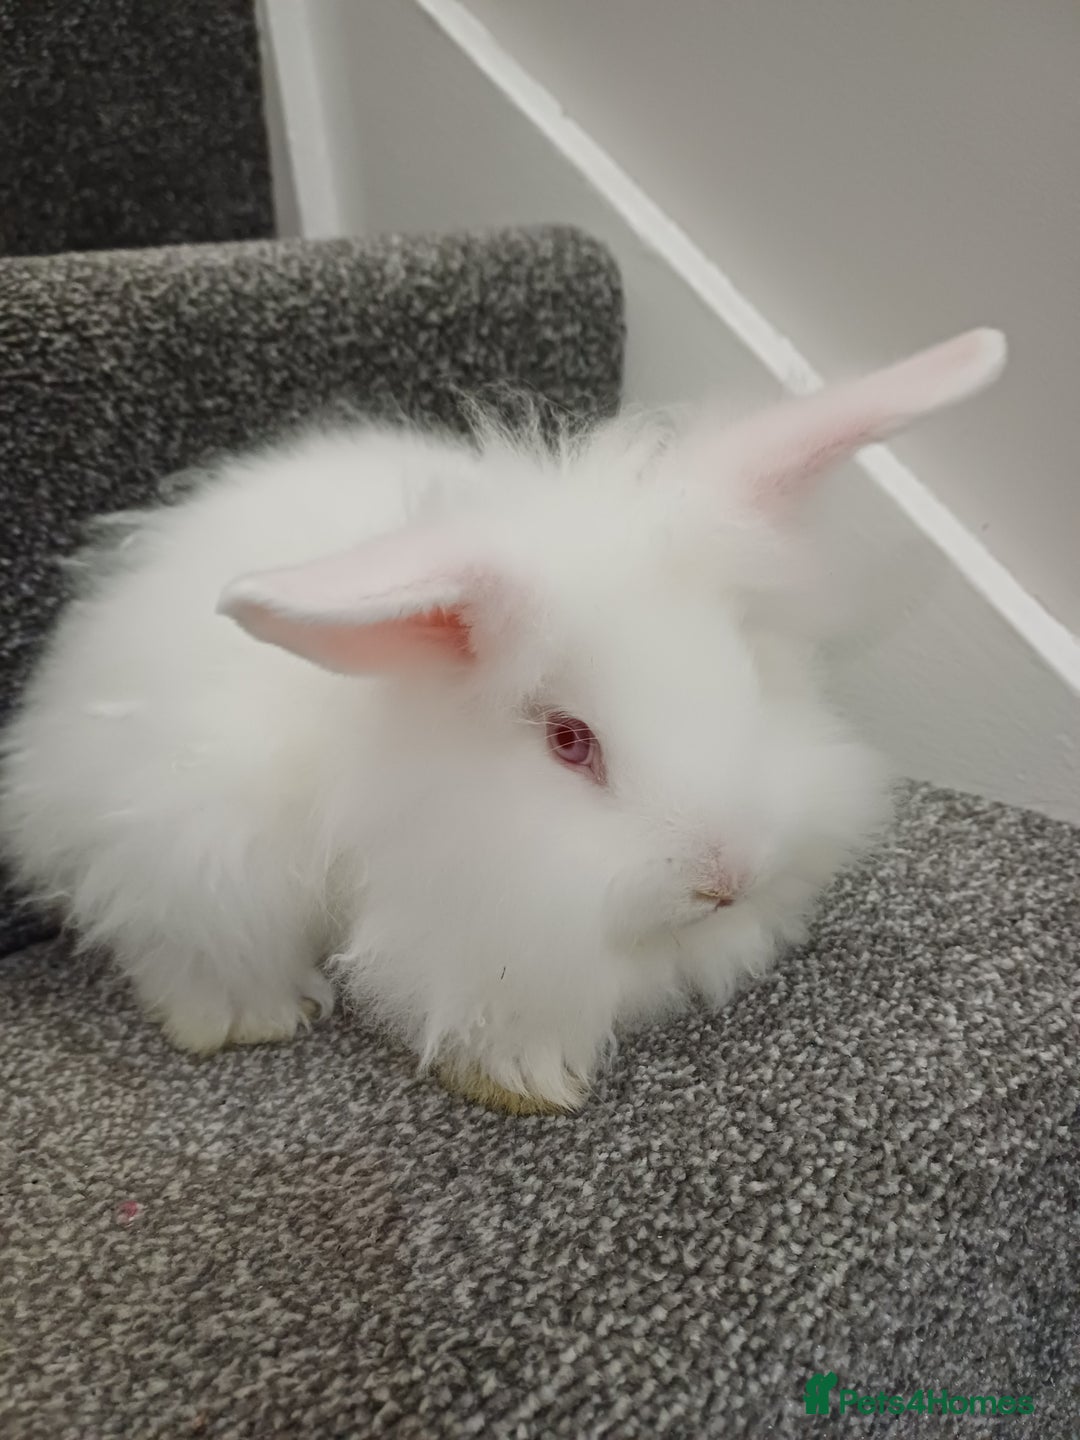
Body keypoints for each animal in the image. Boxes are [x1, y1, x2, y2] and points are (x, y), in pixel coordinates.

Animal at [0, 328, 1006, 1114]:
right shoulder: (470, 925)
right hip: (187, 843)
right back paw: (252, 1017)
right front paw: (527, 1081)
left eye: (752, 678)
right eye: (567, 742)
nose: (726, 879)